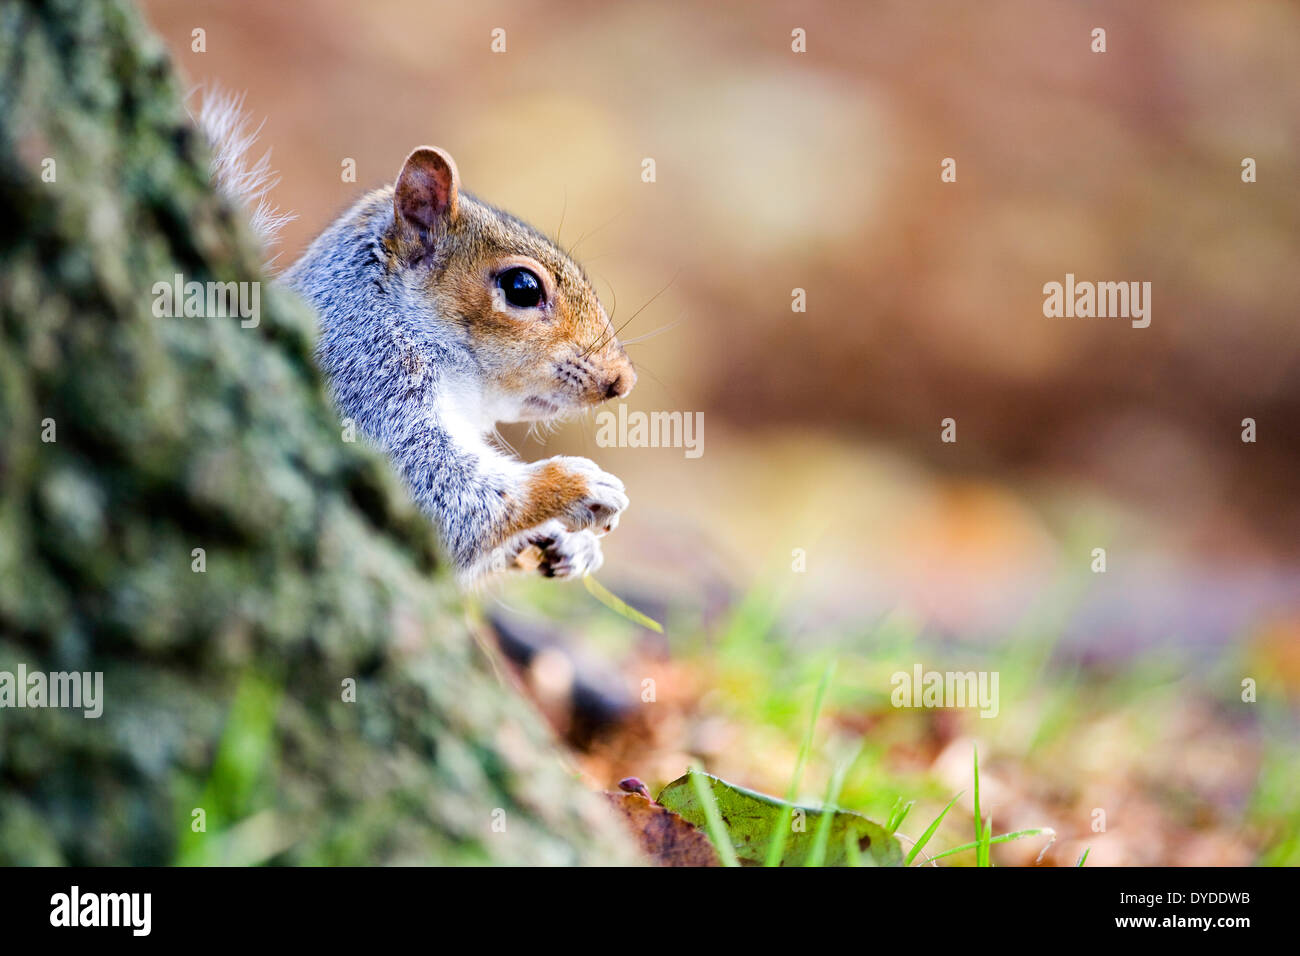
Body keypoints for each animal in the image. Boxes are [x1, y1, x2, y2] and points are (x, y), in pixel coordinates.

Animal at [197, 91, 636, 583]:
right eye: (522, 287)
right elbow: (437, 494)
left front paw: (574, 545)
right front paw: (578, 484)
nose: (623, 380)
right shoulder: (365, 376)